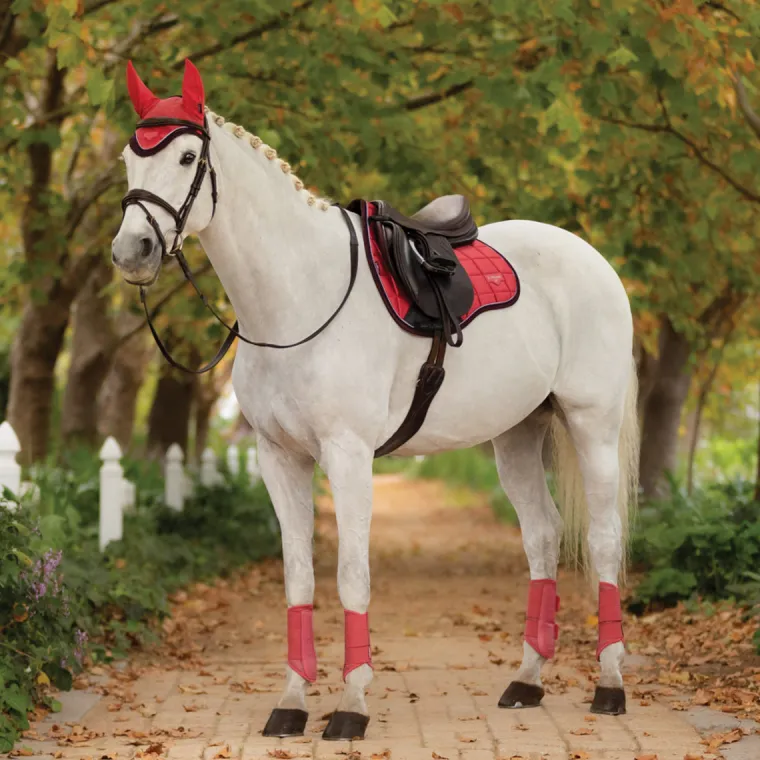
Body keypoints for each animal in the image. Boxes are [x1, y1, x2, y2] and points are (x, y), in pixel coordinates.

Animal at [111, 60, 639, 741]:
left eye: (184, 156)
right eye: (129, 157)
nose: (132, 252)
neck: (298, 298)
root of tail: (593, 260)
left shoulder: (348, 455)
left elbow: (351, 577)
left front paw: (351, 705)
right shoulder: (278, 458)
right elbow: (299, 576)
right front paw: (292, 702)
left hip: (591, 423)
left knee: (603, 540)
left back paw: (610, 684)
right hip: (518, 433)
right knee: (542, 536)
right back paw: (526, 680)